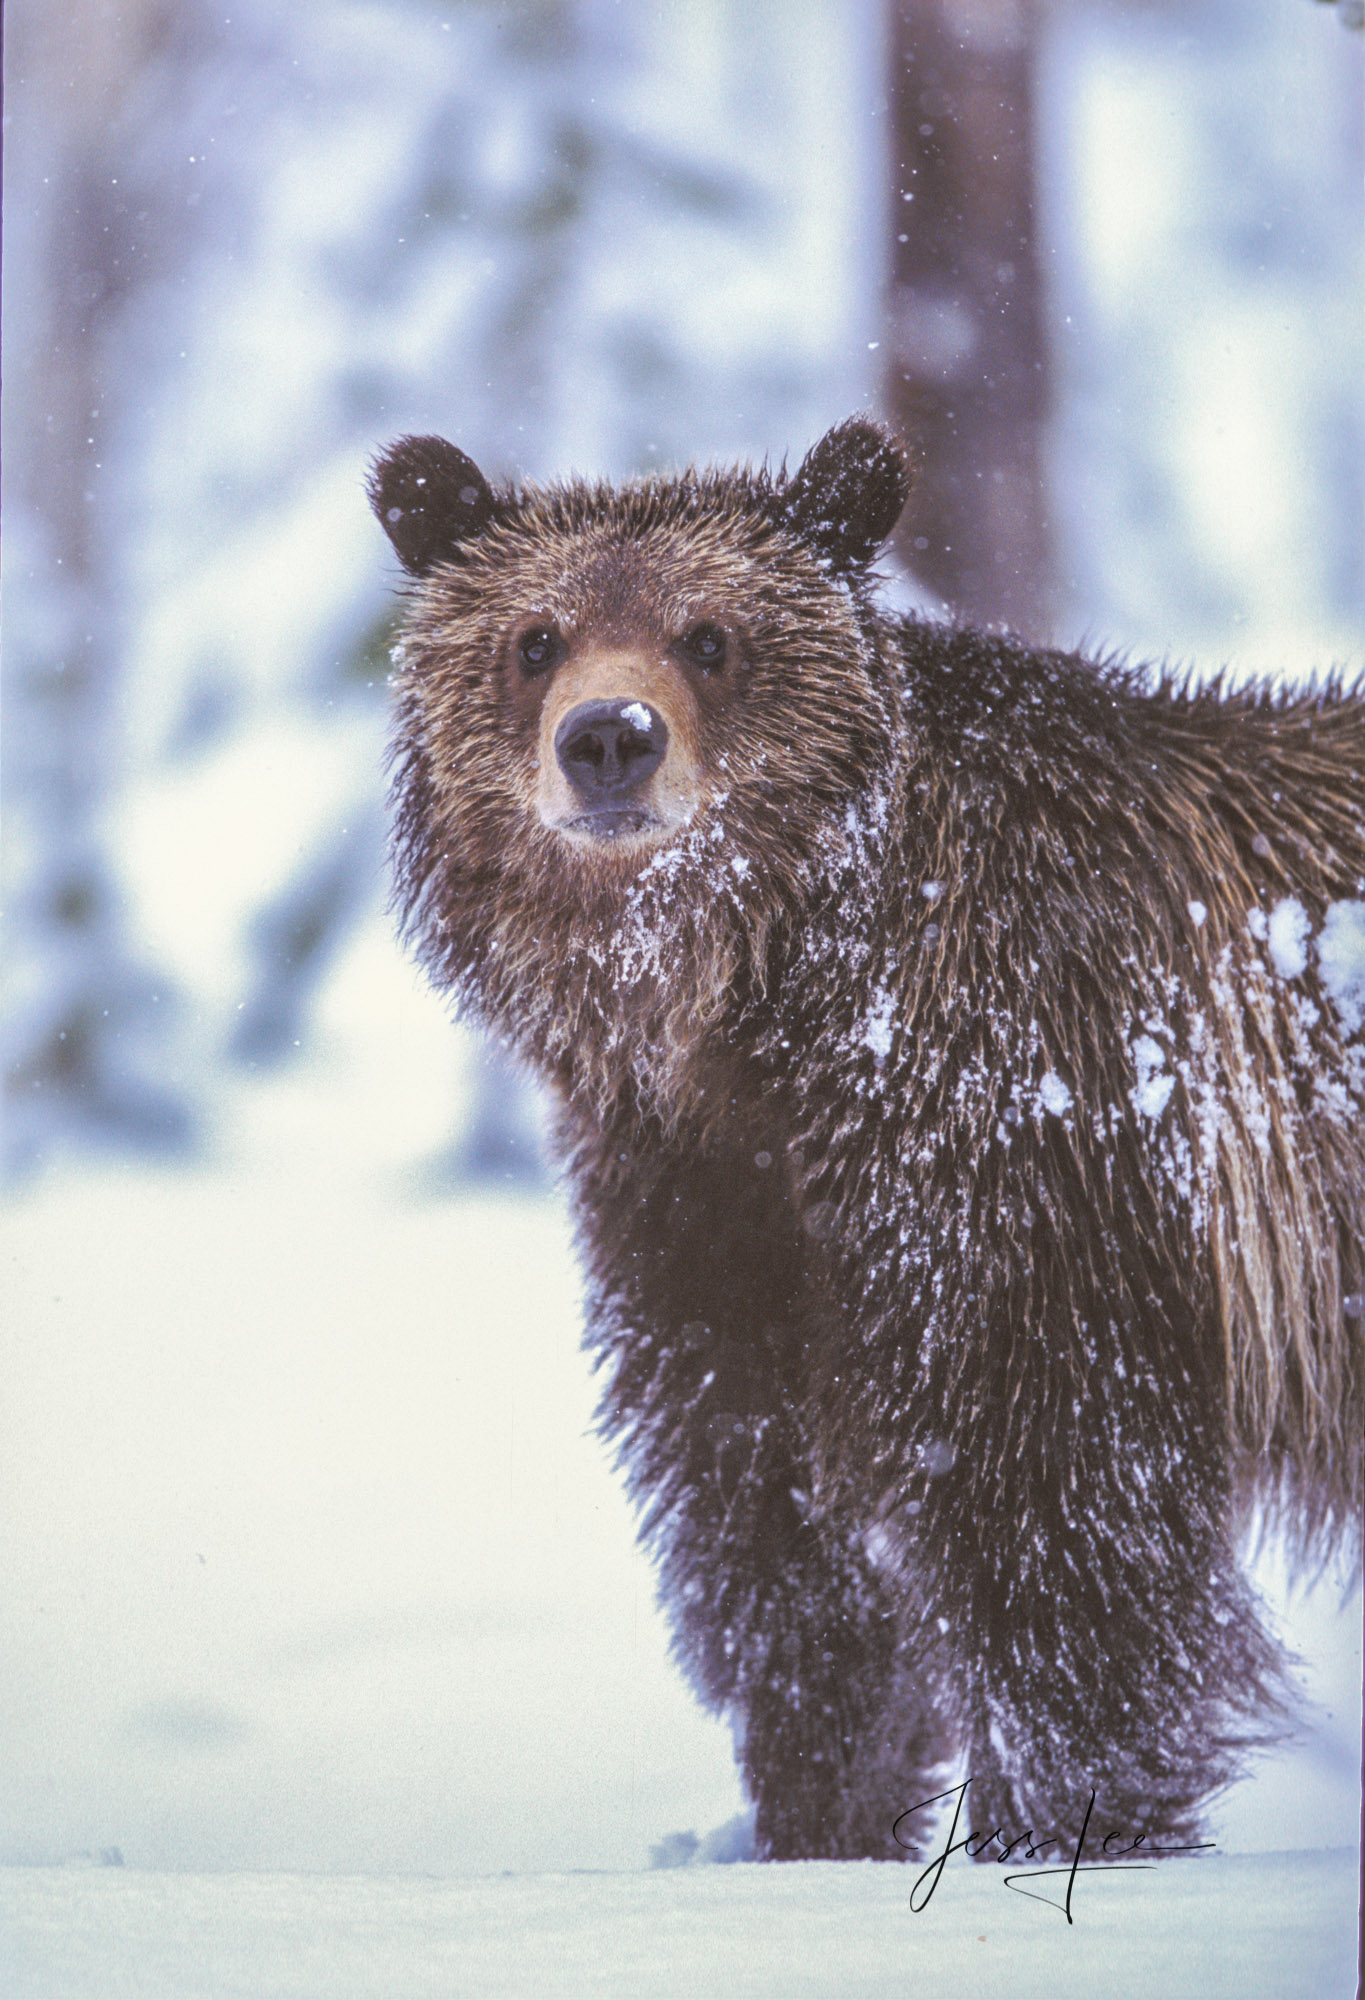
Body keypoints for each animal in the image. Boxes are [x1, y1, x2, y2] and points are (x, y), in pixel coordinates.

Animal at [366, 418, 1352, 1856]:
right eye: (535, 637)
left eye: (709, 634)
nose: (610, 739)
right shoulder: (704, 1204)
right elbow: (771, 1529)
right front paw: (817, 1809)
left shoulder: (1029, 1146)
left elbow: (1057, 1532)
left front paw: (1053, 1818)